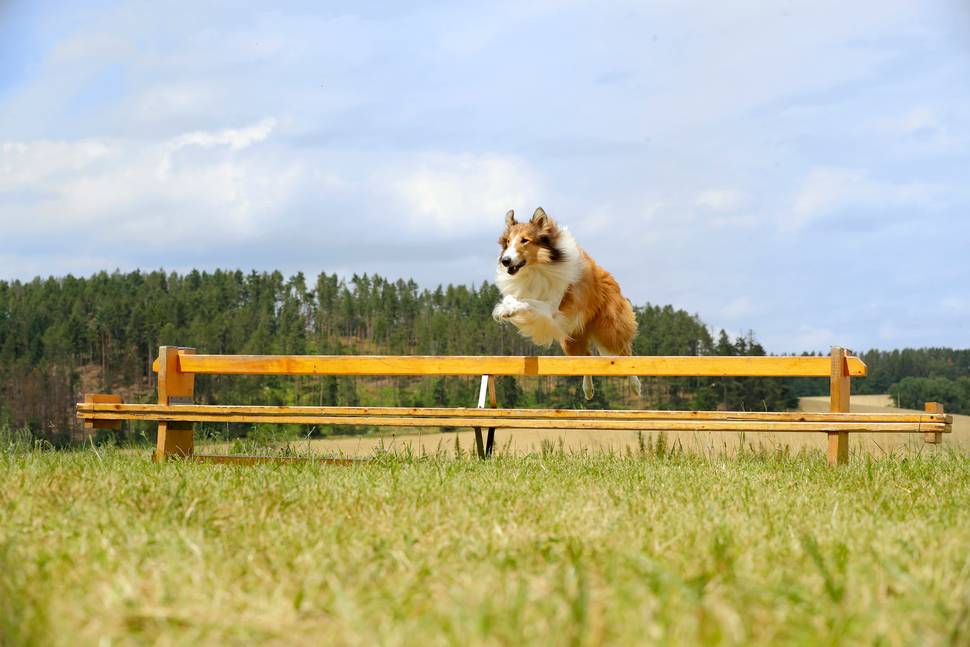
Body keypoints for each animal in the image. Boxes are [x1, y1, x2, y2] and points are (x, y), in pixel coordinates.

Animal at [488, 208, 640, 400]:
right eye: (508, 242)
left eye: (525, 240)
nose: (505, 260)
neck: (536, 269)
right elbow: (514, 298)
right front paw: (505, 308)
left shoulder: (552, 308)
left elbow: (528, 301)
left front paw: (510, 309)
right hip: (571, 338)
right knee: (587, 357)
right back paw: (588, 390)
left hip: (609, 330)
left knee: (626, 352)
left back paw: (635, 385)